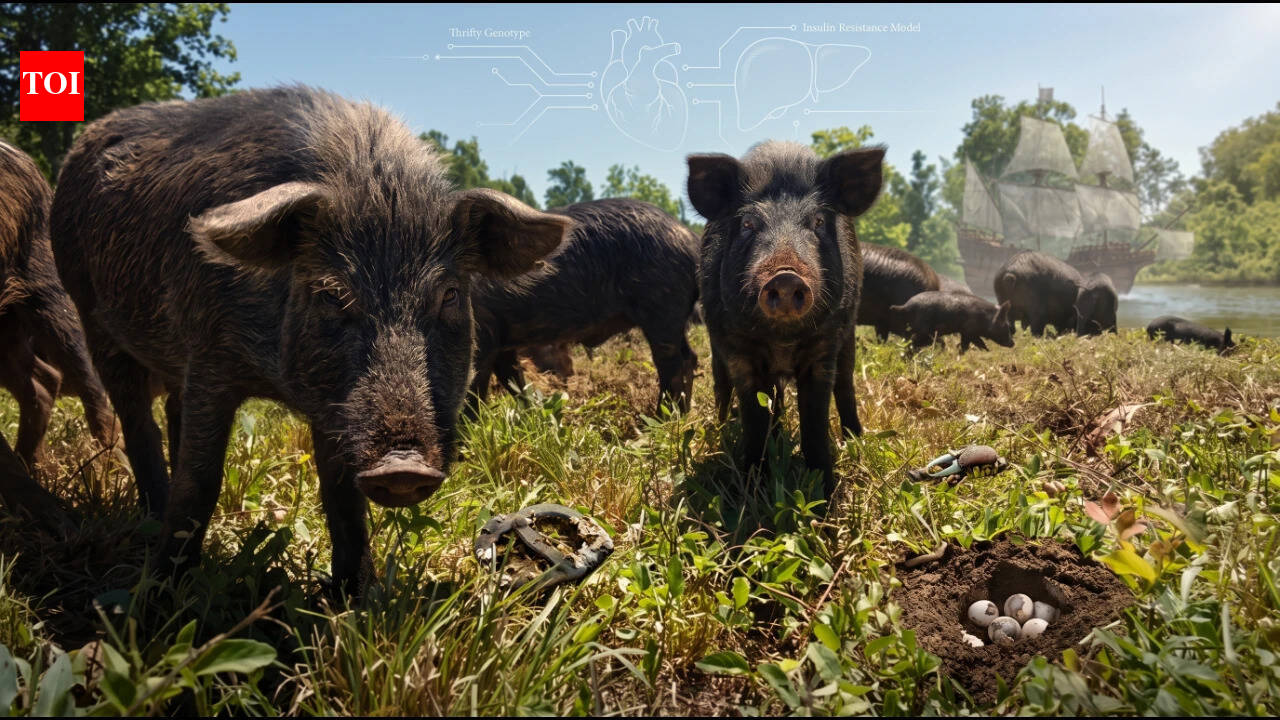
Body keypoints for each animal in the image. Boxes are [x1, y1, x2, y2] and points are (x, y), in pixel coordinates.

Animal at [49, 86, 571, 592]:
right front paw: (161, 595)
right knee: (139, 423)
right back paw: (152, 519)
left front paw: (353, 597)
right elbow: (200, 481)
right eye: (331, 293)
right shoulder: (210, 356)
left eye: (449, 294)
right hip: (91, 312)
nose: (402, 466)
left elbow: (340, 495)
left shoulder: (332, 406)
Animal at [471, 198, 699, 412]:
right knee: (689, 358)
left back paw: (660, 418)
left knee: (672, 364)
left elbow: (474, 389)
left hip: (662, 308)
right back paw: (682, 413)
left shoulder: (483, 333)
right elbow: (513, 380)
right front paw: (532, 414)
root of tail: (689, 237)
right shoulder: (501, 340)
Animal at [687, 141, 883, 498]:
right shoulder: (738, 352)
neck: (781, 340)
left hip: (848, 338)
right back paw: (724, 428)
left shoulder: (824, 350)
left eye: (818, 221)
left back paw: (855, 440)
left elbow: (815, 424)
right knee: (724, 387)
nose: (786, 276)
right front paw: (751, 491)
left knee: (845, 385)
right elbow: (753, 420)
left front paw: (823, 495)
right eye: (748, 224)